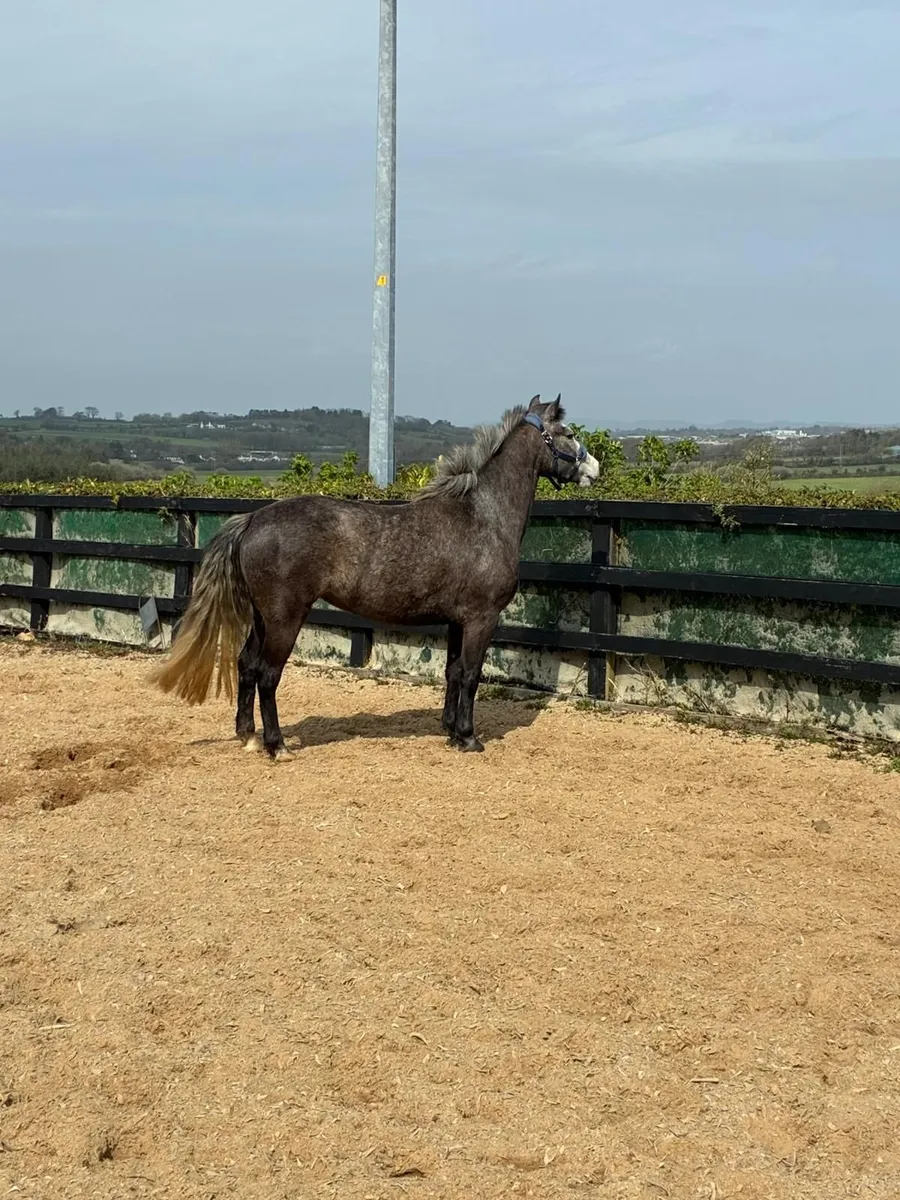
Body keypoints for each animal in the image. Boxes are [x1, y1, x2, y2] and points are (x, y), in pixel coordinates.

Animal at [148, 394, 599, 759]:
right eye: (568, 432)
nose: (593, 469)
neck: (483, 515)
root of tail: (254, 519)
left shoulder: (457, 620)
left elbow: (453, 672)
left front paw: (450, 730)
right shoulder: (481, 618)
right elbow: (471, 675)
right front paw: (469, 738)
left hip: (262, 617)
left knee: (245, 665)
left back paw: (249, 737)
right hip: (284, 618)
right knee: (267, 674)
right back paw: (277, 746)